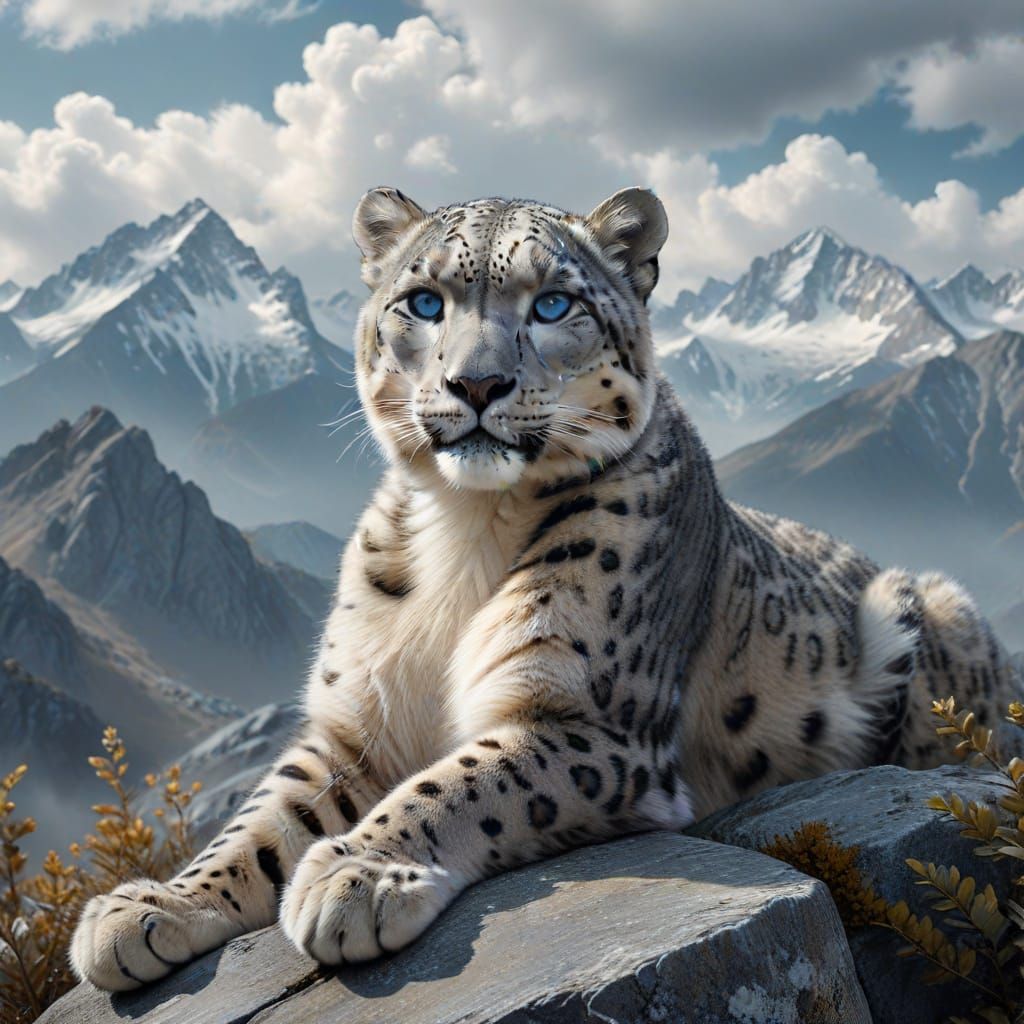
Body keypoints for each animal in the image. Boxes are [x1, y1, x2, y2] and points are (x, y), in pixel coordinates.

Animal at [70, 186, 1020, 990]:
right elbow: (259, 819)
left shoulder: (589, 722)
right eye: (424, 301)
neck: (465, 531)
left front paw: (357, 874)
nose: (476, 383)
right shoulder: (353, 724)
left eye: (554, 304)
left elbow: (461, 783)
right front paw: (149, 907)